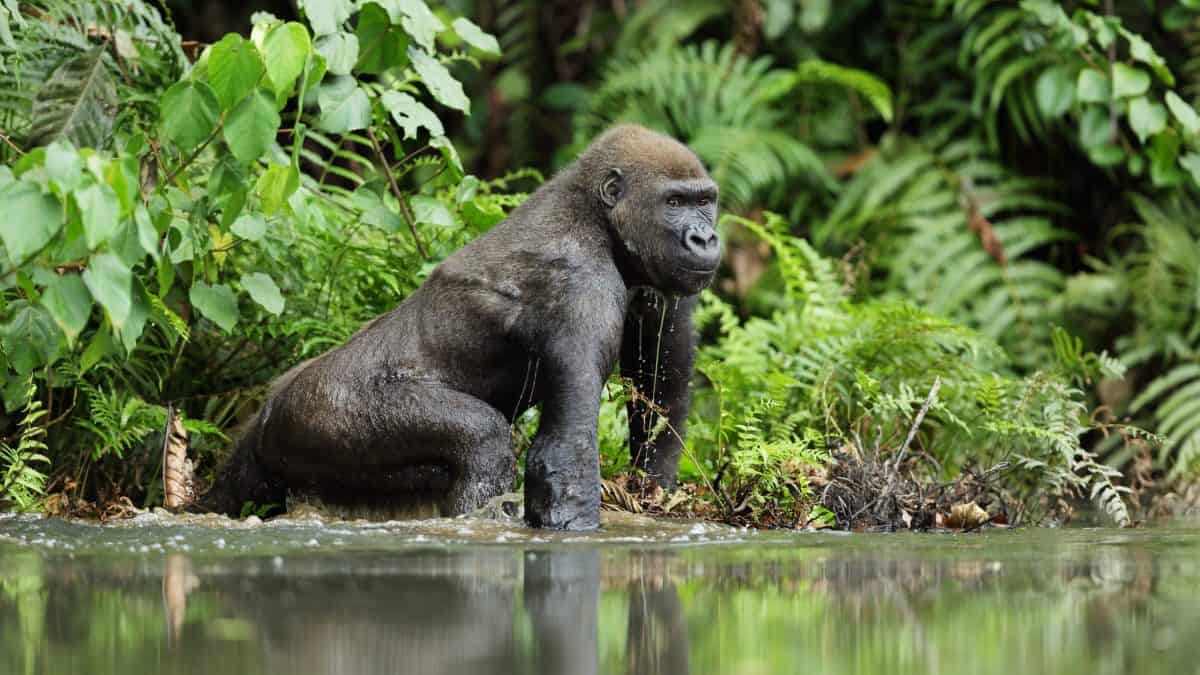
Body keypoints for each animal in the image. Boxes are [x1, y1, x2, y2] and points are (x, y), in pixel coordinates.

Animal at [192, 124, 721, 530]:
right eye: (674, 202)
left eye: (706, 201)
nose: (706, 238)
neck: (596, 214)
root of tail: (267, 410)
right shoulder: (580, 283)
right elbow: (562, 455)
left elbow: (660, 391)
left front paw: (653, 491)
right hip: (318, 413)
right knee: (482, 441)